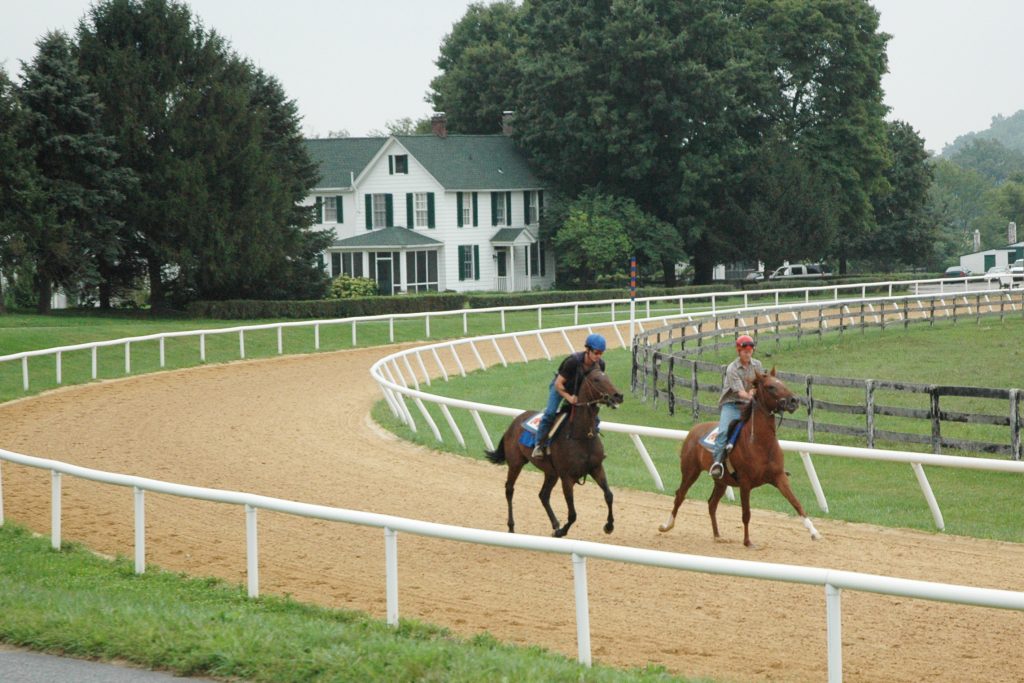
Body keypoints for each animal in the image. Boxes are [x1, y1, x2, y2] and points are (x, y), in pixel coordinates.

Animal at [485, 366, 622, 536]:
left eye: (607, 376)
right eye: (596, 379)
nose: (618, 396)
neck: (581, 436)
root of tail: (514, 423)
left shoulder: (596, 468)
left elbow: (609, 495)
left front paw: (609, 526)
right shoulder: (567, 477)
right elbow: (573, 514)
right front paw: (562, 531)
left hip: (551, 472)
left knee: (543, 495)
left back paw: (555, 523)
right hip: (516, 463)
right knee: (509, 489)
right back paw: (511, 526)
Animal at [655, 366, 823, 548]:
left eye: (782, 383)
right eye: (770, 386)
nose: (794, 400)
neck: (760, 444)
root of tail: (694, 430)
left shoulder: (779, 477)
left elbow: (796, 503)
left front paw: (814, 532)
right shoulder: (745, 483)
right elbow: (746, 513)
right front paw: (747, 541)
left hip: (721, 481)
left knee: (711, 504)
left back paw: (717, 535)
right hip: (690, 471)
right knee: (680, 495)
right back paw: (666, 525)